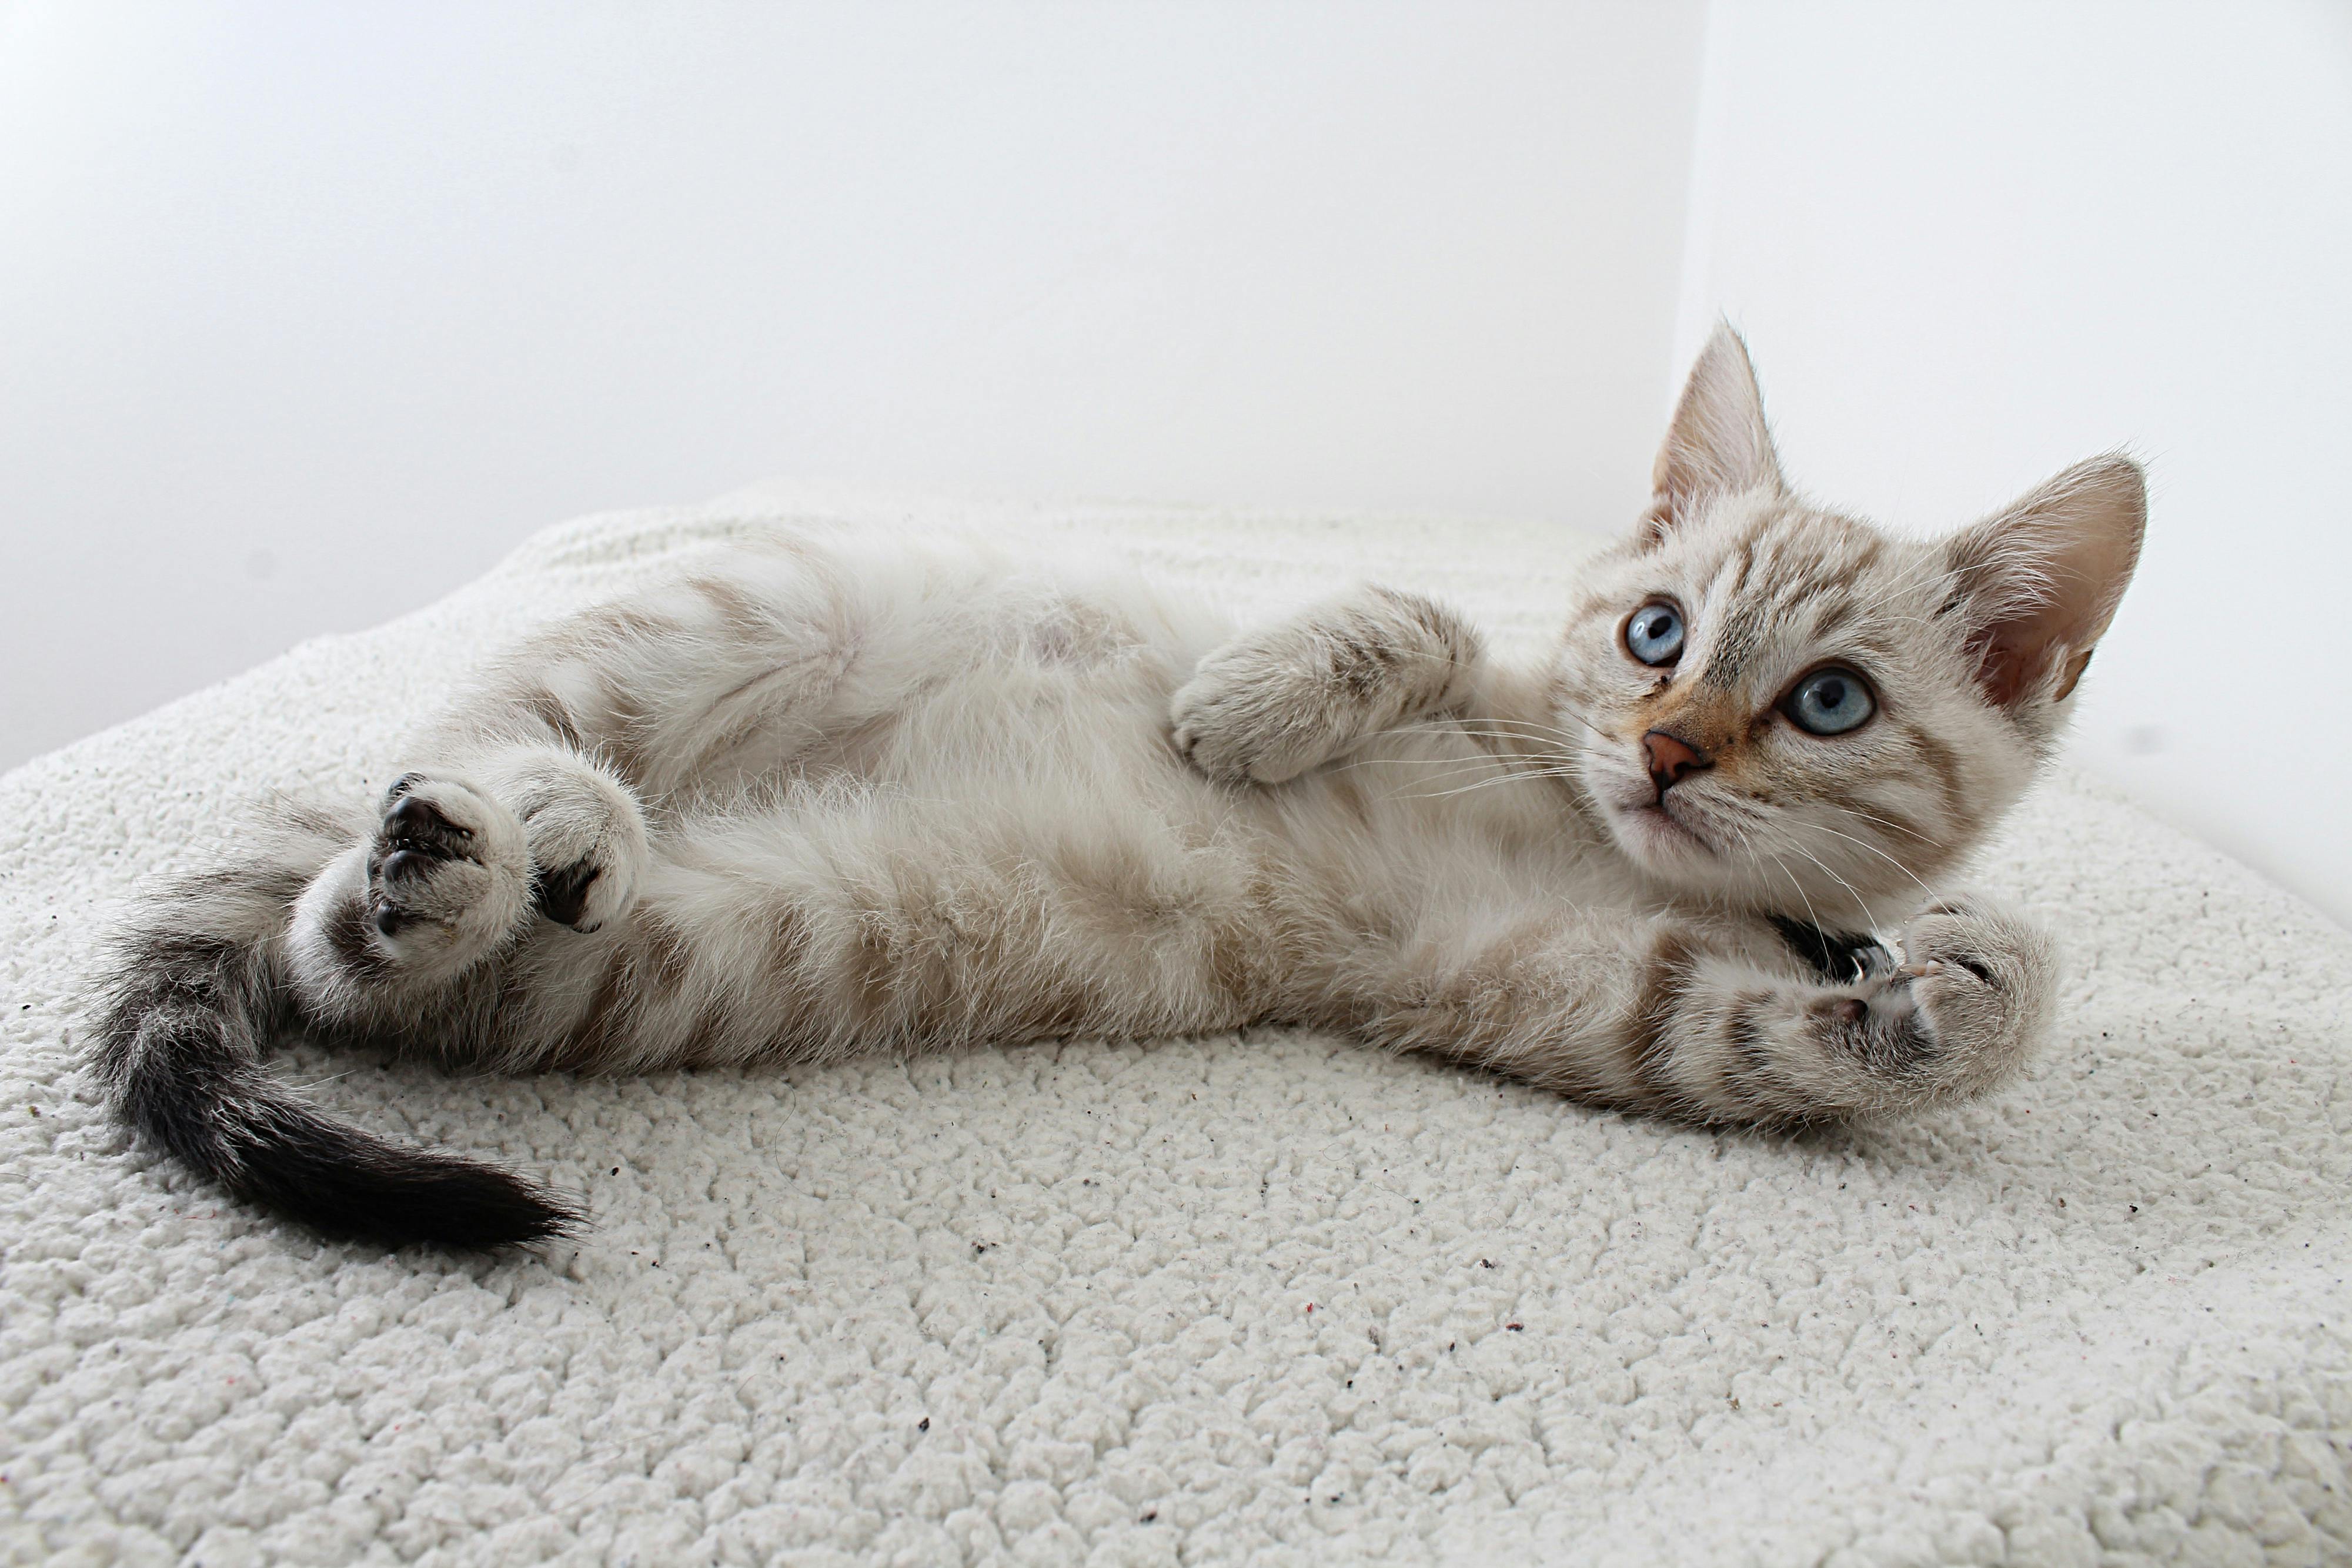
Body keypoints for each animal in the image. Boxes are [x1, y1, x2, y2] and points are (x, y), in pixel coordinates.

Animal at [96, 331, 2154, 1251]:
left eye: (1826, 702)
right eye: (1654, 633)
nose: (1661, 753)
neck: (1575, 829)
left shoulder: (1549, 987)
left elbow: (1751, 1030)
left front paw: (1952, 990)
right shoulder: (1502, 692)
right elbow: (1407, 622)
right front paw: (1248, 706)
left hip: (677, 955)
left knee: (358, 949)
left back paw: (469, 873)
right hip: (727, 615)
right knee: (482, 726)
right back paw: (538, 806)